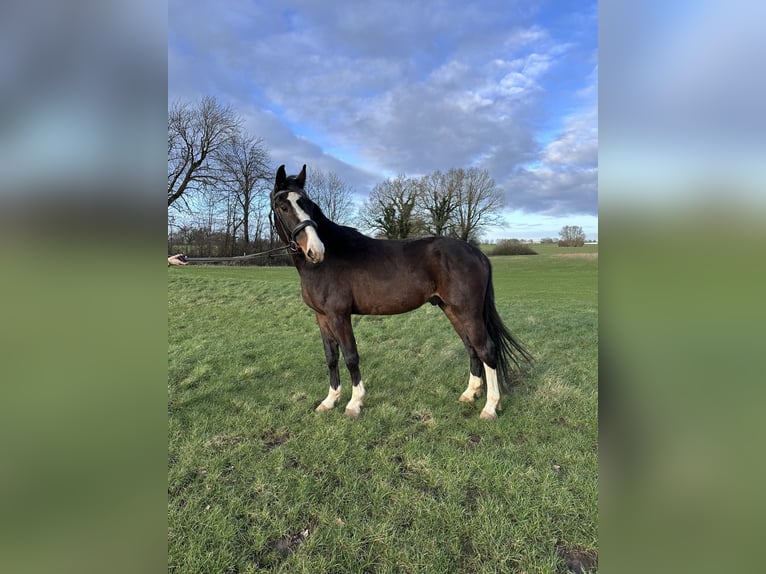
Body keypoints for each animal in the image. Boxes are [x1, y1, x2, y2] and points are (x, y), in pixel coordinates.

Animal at [272, 164, 536, 420]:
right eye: (283, 206)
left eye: (307, 204)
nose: (315, 250)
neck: (328, 261)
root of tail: (477, 253)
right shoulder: (322, 316)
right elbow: (331, 357)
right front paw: (329, 401)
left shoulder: (339, 315)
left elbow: (351, 356)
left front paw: (354, 404)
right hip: (452, 310)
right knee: (471, 348)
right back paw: (470, 394)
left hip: (468, 312)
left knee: (486, 350)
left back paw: (490, 407)